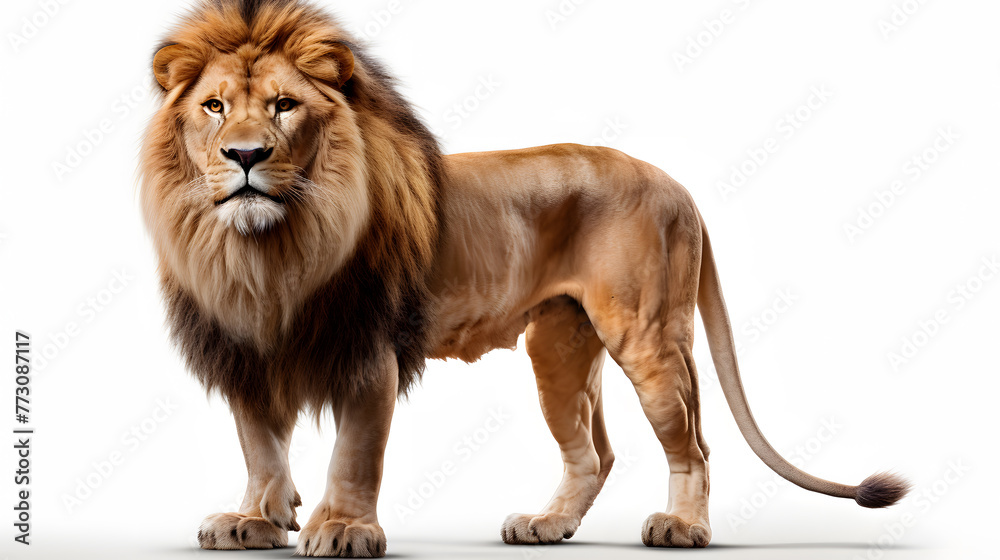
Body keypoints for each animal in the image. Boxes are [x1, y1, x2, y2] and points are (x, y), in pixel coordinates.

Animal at [140, 0, 910, 556]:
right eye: (214, 107)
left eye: (284, 105)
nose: (244, 156)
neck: (264, 251)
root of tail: (675, 182)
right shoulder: (242, 347)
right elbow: (261, 446)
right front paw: (254, 521)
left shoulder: (370, 346)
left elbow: (355, 451)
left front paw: (343, 529)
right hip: (559, 348)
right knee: (594, 452)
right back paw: (547, 525)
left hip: (647, 335)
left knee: (691, 441)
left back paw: (683, 528)